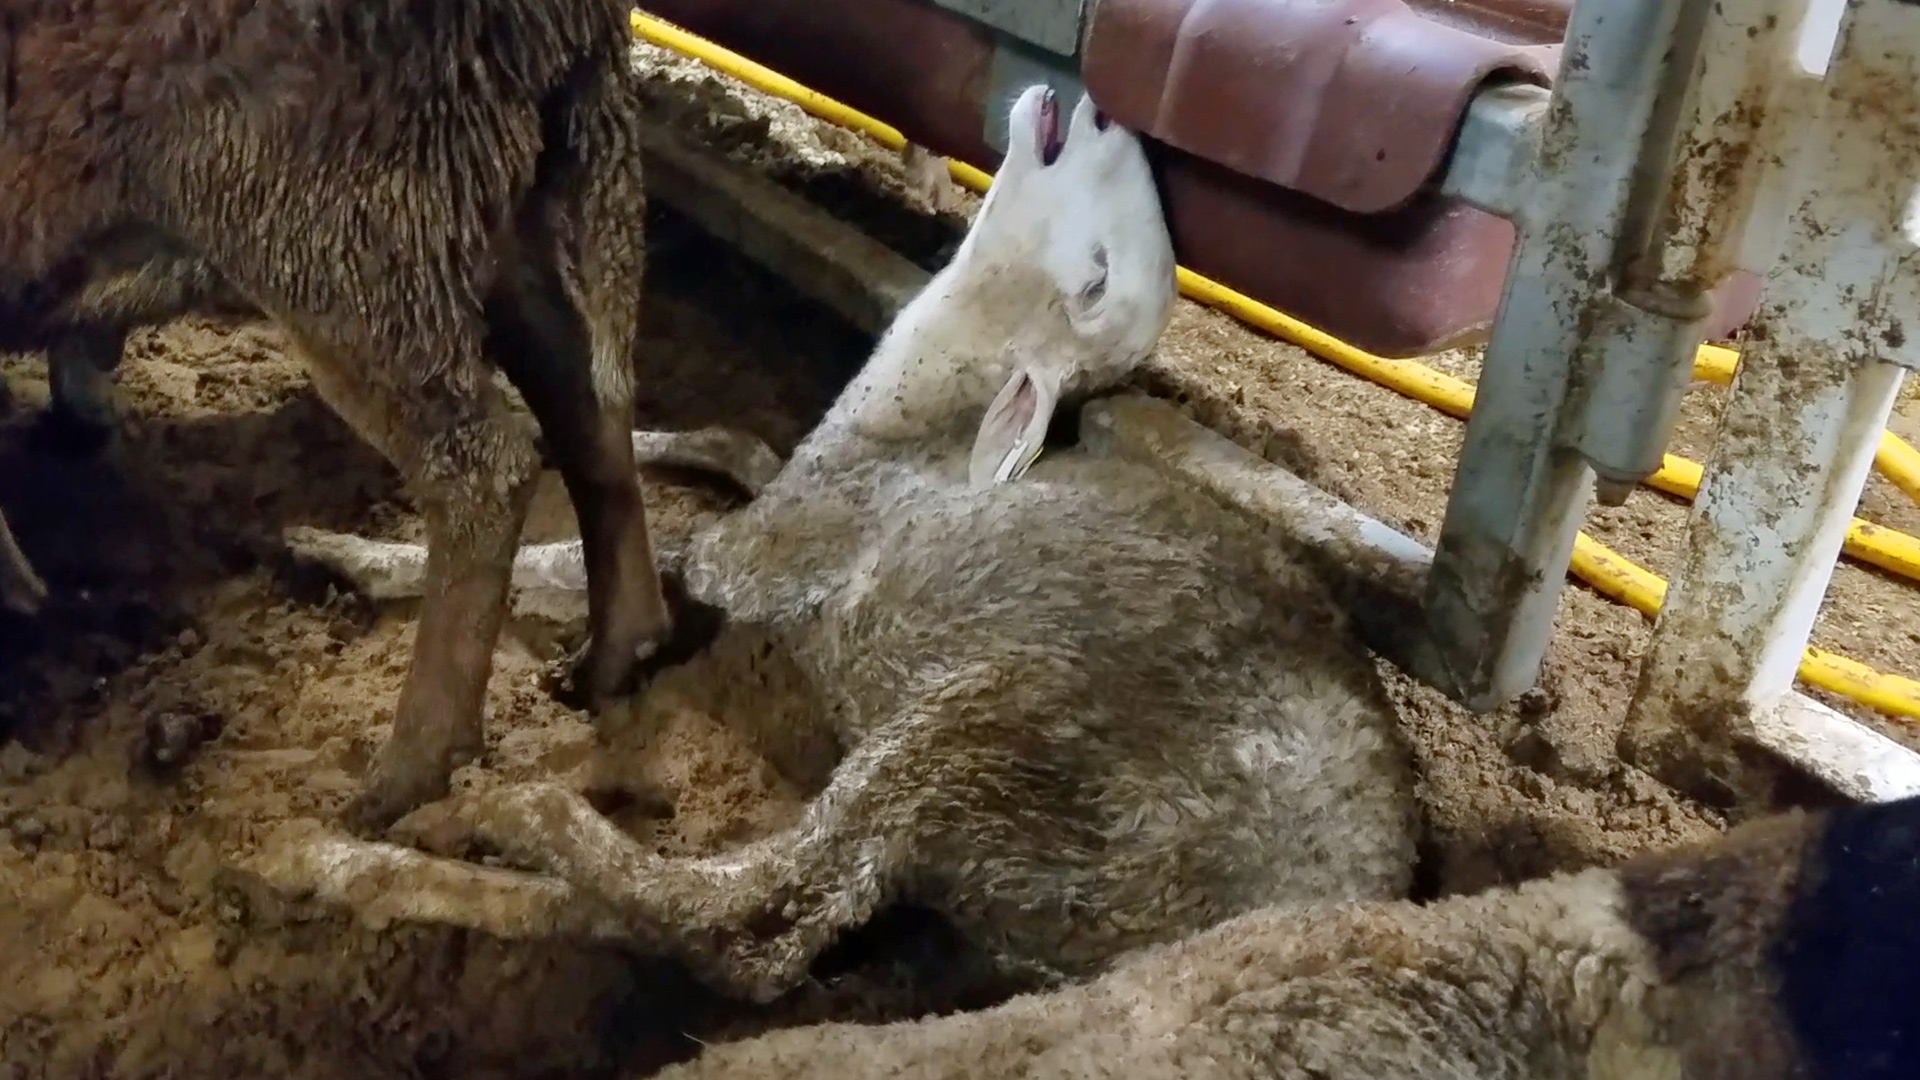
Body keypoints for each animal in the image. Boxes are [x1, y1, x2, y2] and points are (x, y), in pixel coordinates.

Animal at [0, 2, 683, 822]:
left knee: (484, 467)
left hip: (338, 221)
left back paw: (406, 775)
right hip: (510, 183)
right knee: (588, 399)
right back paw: (613, 657)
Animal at [280, 84, 1428, 999]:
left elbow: (601, 559)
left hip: (999, 729)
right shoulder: (795, 481)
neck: (917, 423)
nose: (1110, 113)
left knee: (748, 921)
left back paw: (424, 835)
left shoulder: (777, 553)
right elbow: (729, 441)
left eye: (1097, 283)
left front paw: (347, 552)